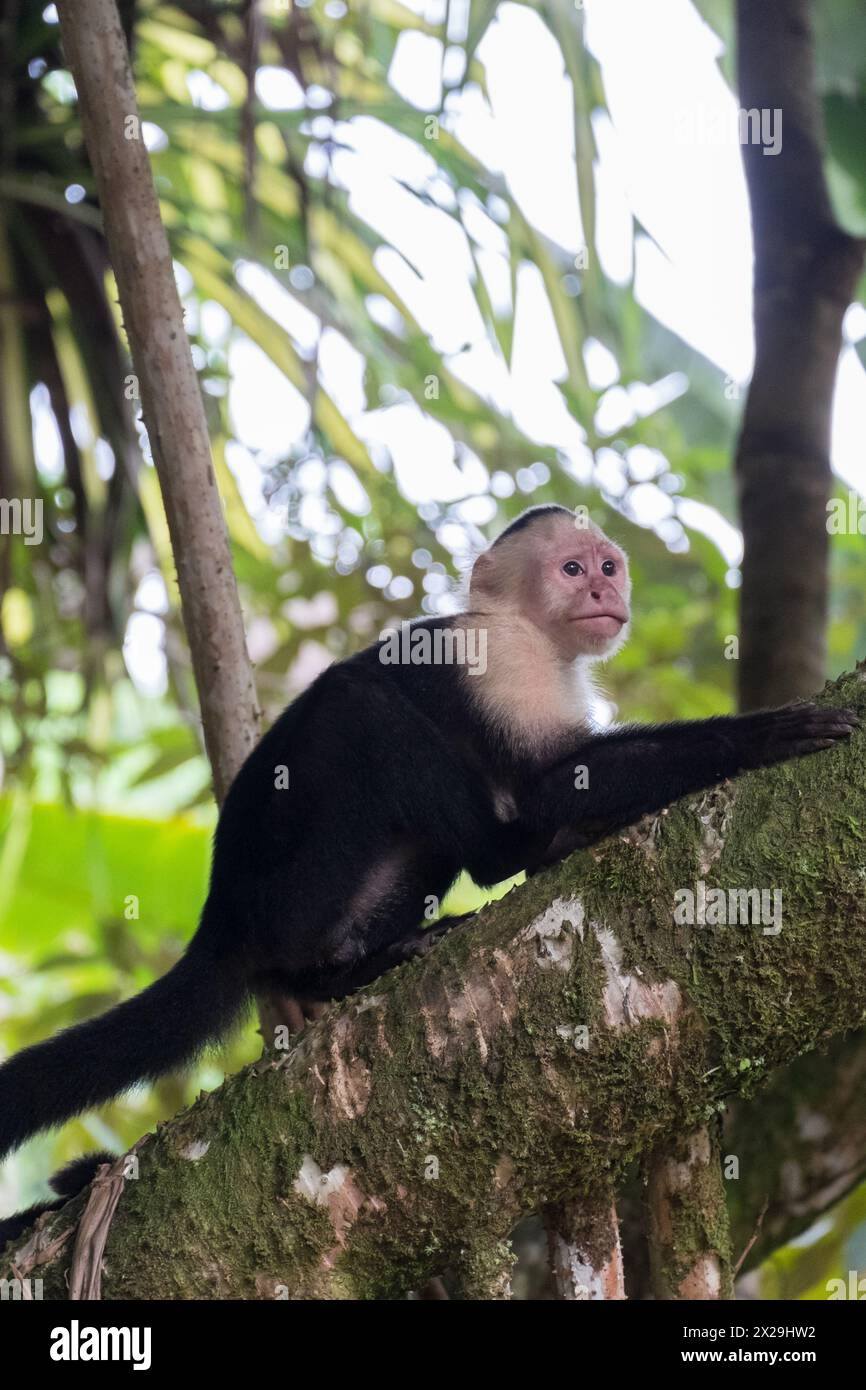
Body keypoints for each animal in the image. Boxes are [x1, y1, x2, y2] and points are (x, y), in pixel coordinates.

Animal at [0, 500, 856, 1239]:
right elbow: (544, 785)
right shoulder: (506, 666)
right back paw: (524, 852)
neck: (528, 631)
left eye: (609, 566)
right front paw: (762, 734)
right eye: (573, 568)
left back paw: (348, 970)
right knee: (361, 709)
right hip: (292, 881)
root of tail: (222, 920)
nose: (606, 590)